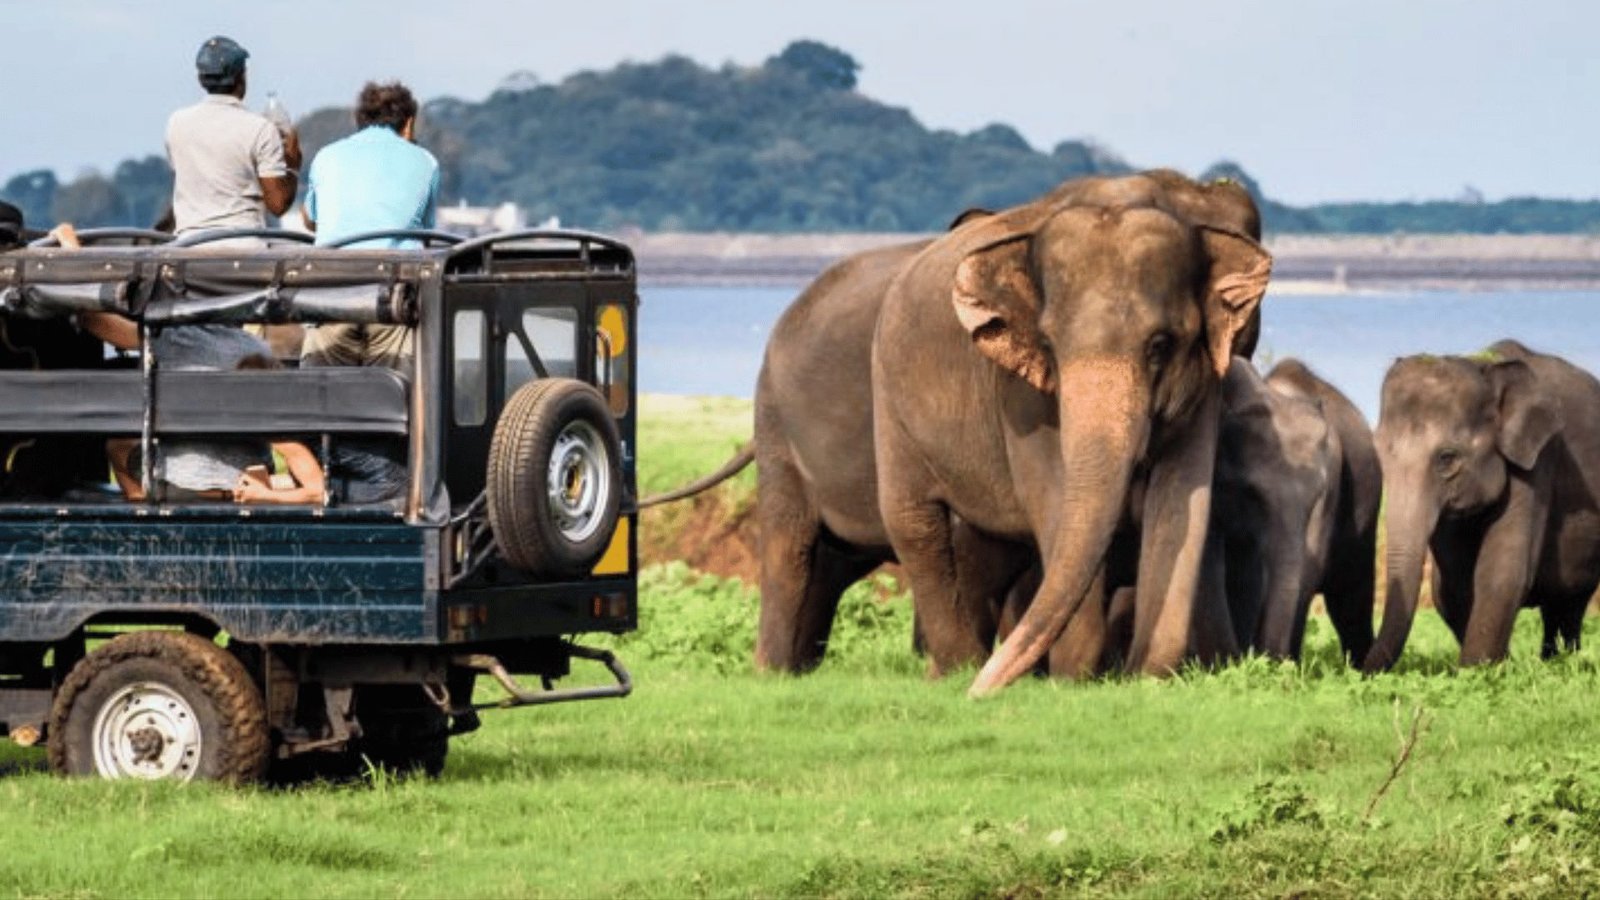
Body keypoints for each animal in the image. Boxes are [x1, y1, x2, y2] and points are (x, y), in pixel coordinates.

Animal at [871, 172, 1273, 695]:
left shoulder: (1206, 380)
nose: (980, 693)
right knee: (913, 522)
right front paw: (1074, 680)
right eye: (1048, 344)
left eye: (1160, 345)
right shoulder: (1020, 394)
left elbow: (1182, 498)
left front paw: (1144, 677)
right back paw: (958, 670)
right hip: (888, 400)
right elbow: (1054, 498)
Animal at [1204, 357, 1379, 662]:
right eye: (1251, 492)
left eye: (1318, 496)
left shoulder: (1333, 477)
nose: (1267, 658)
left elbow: (1308, 568)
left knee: (1351, 602)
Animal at [1363, 339, 1600, 672]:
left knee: (1570, 604)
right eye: (1379, 454)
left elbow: (1501, 570)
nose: (1357, 670)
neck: (1484, 366)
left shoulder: (1538, 459)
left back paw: (1560, 664)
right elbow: (1451, 586)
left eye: (1447, 458)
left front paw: (1481, 671)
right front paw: (1500, 666)